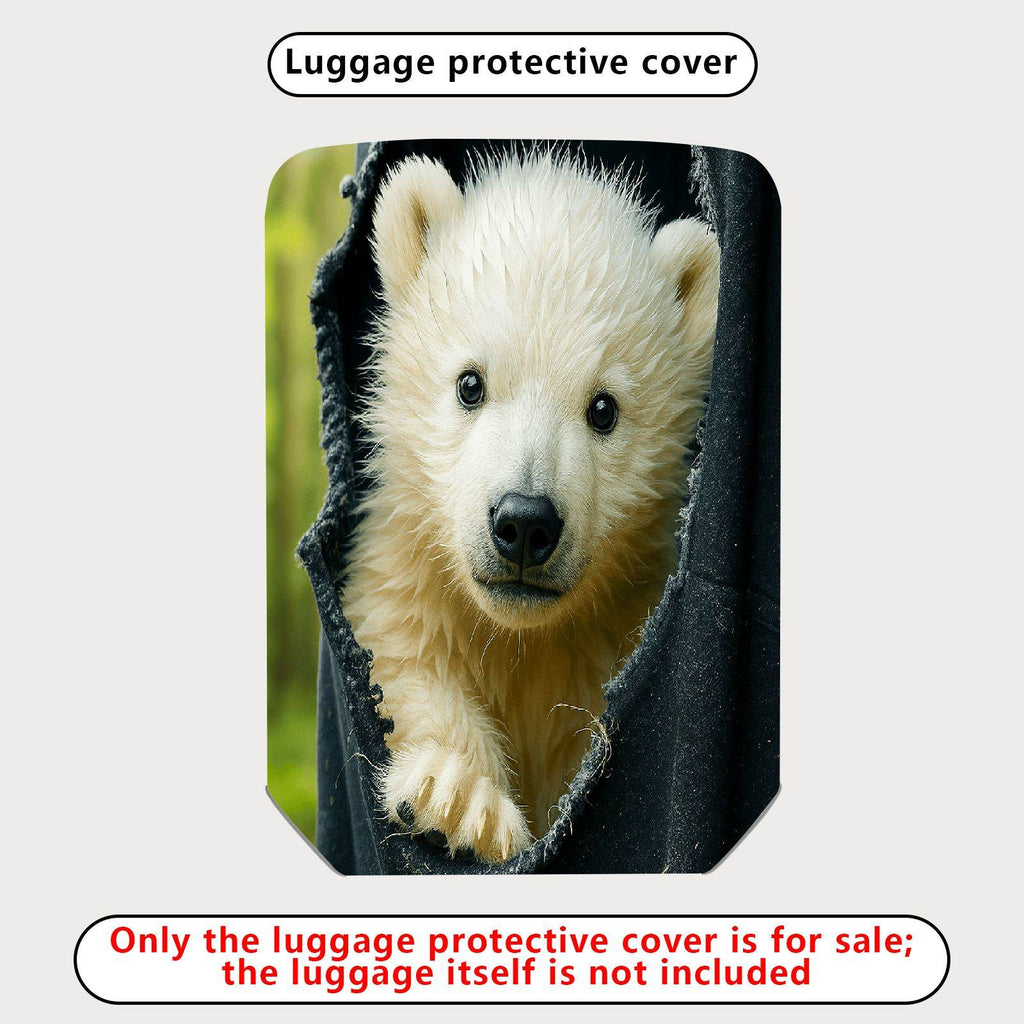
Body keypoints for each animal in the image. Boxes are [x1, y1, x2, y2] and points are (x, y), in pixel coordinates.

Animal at [340, 150, 720, 863]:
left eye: (604, 407)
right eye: (470, 382)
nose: (523, 523)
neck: (522, 641)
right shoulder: (408, 577)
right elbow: (404, 658)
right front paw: (457, 800)